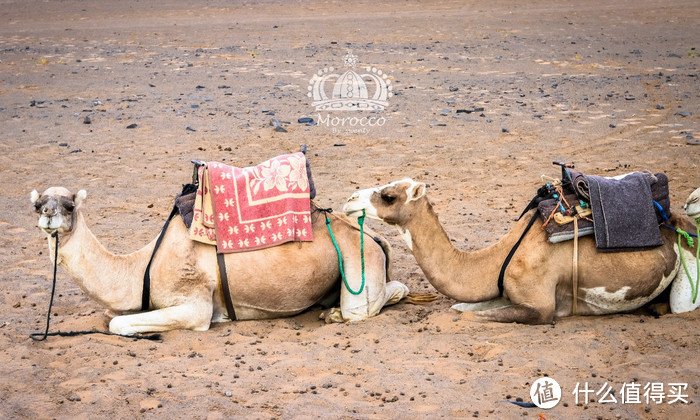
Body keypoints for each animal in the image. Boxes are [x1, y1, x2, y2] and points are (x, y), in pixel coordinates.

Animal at [31, 187, 422, 334]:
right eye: (37, 204)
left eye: (69, 205)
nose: (49, 215)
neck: (141, 266)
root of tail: (372, 236)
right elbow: (110, 316)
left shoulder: (195, 304)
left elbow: (117, 324)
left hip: (360, 261)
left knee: (380, 297)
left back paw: (338, 313)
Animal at [342, 177, 696, 324]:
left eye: (388, 196)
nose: (349, 199)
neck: (501, 255)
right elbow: (460, 308)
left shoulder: (539, 306)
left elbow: (470, 318)